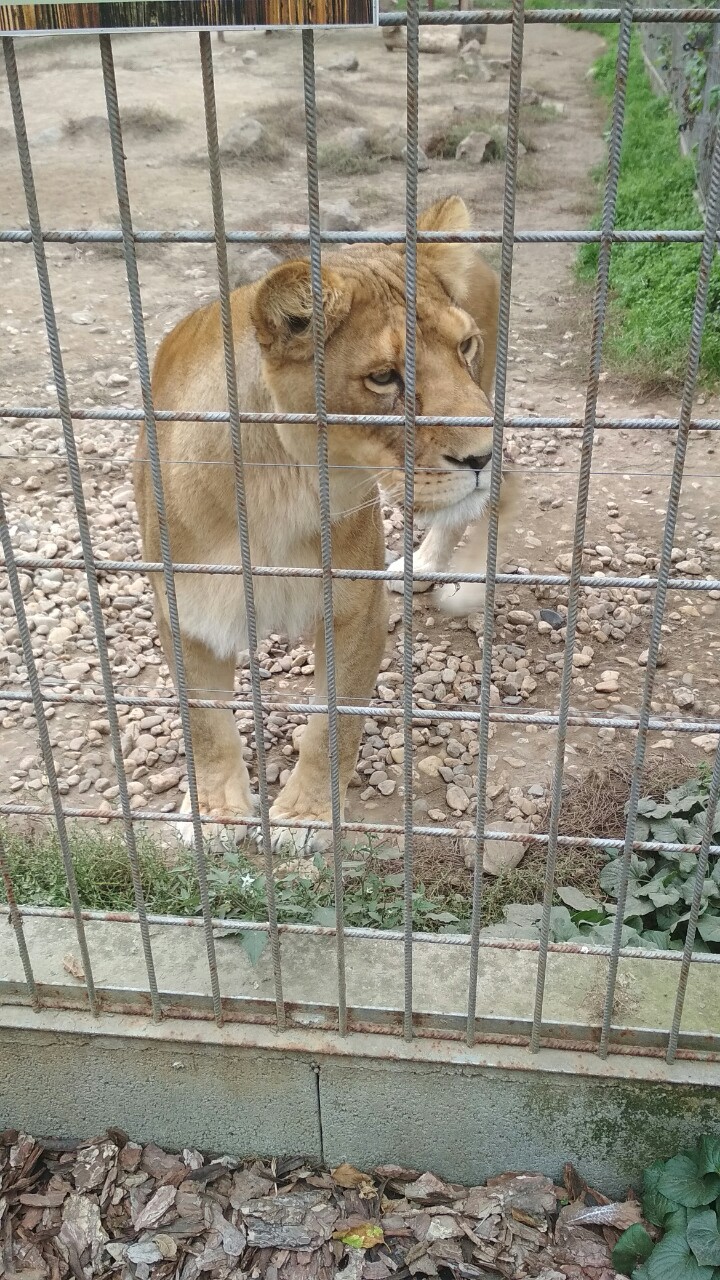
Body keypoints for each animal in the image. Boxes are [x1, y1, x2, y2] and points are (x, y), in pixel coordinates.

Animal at [134, 195, 511, 853]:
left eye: (464, 346)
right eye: (384, 377)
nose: (482, 456)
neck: (277, 493)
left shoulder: (354, 610)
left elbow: (331, 725)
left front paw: (306, 817)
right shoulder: (186, 609)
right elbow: (205, 725)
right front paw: (217, 813)